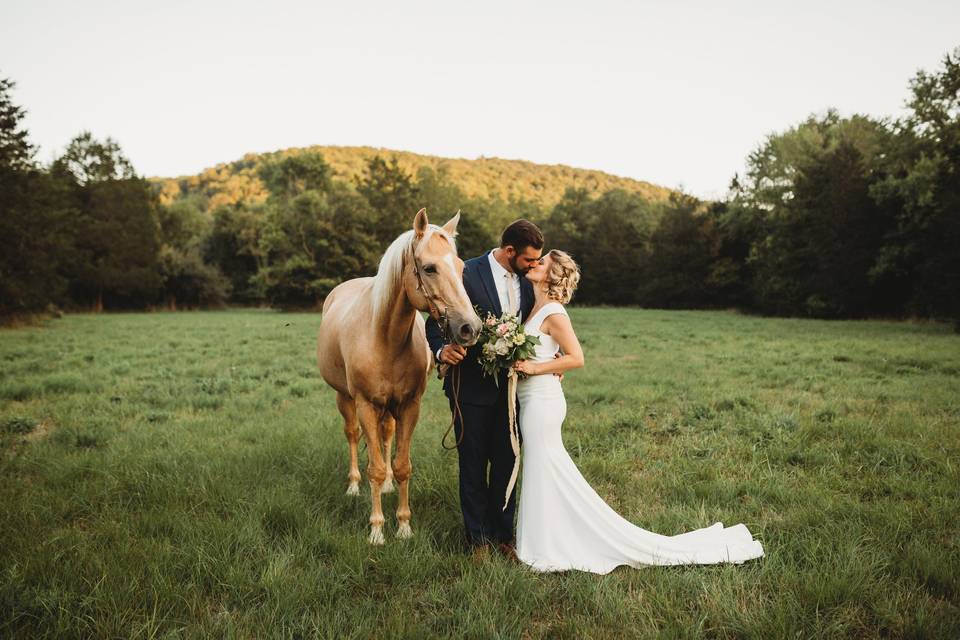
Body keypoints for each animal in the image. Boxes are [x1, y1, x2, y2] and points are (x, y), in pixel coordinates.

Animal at [318, 208, 480, 544]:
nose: (470, 328)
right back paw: (354, 485)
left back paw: (388, 486)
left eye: (460, 268)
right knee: (353, 436)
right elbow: (375, 468)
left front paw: (404, 526)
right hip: (345, 398)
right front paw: (377, 531)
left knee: (386, 437)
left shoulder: (408, 406)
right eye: (429, 268)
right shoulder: (366, 405)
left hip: (389, 409)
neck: (384, 338)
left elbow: (401, 465)